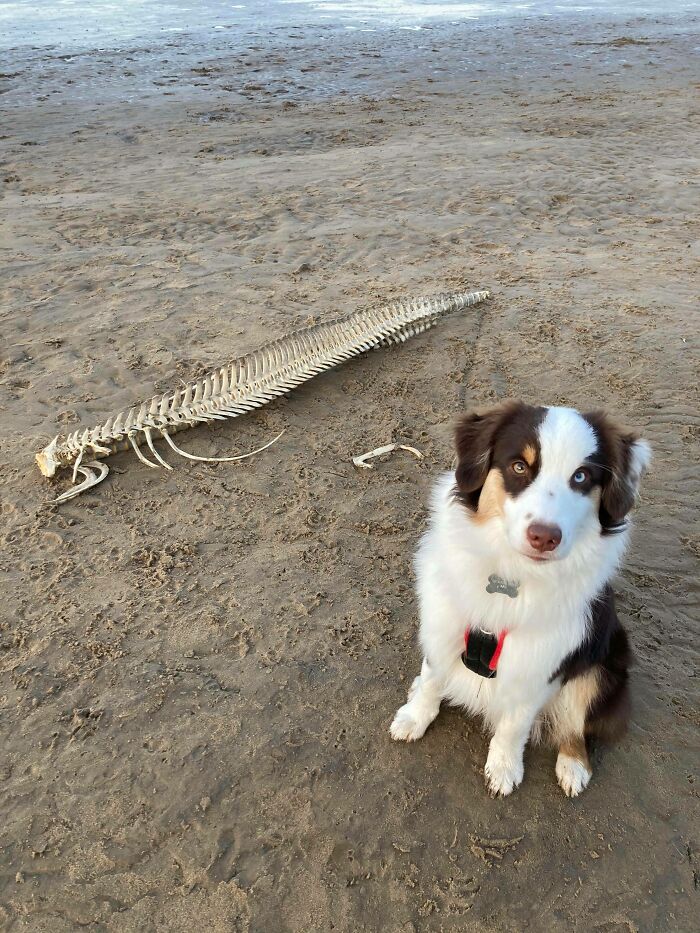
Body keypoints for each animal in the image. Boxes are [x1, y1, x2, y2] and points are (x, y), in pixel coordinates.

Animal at [388, 400, 652, 792]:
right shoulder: (446, 619)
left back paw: (574, 765)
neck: (511, 576)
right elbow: (433, 677)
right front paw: (414, 716)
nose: (544, 536)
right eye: (519, 466)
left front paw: (504, 767)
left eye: (581, 477)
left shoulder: (539, 662)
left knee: (577, 723)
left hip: (604, 665)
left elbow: (514, 725)